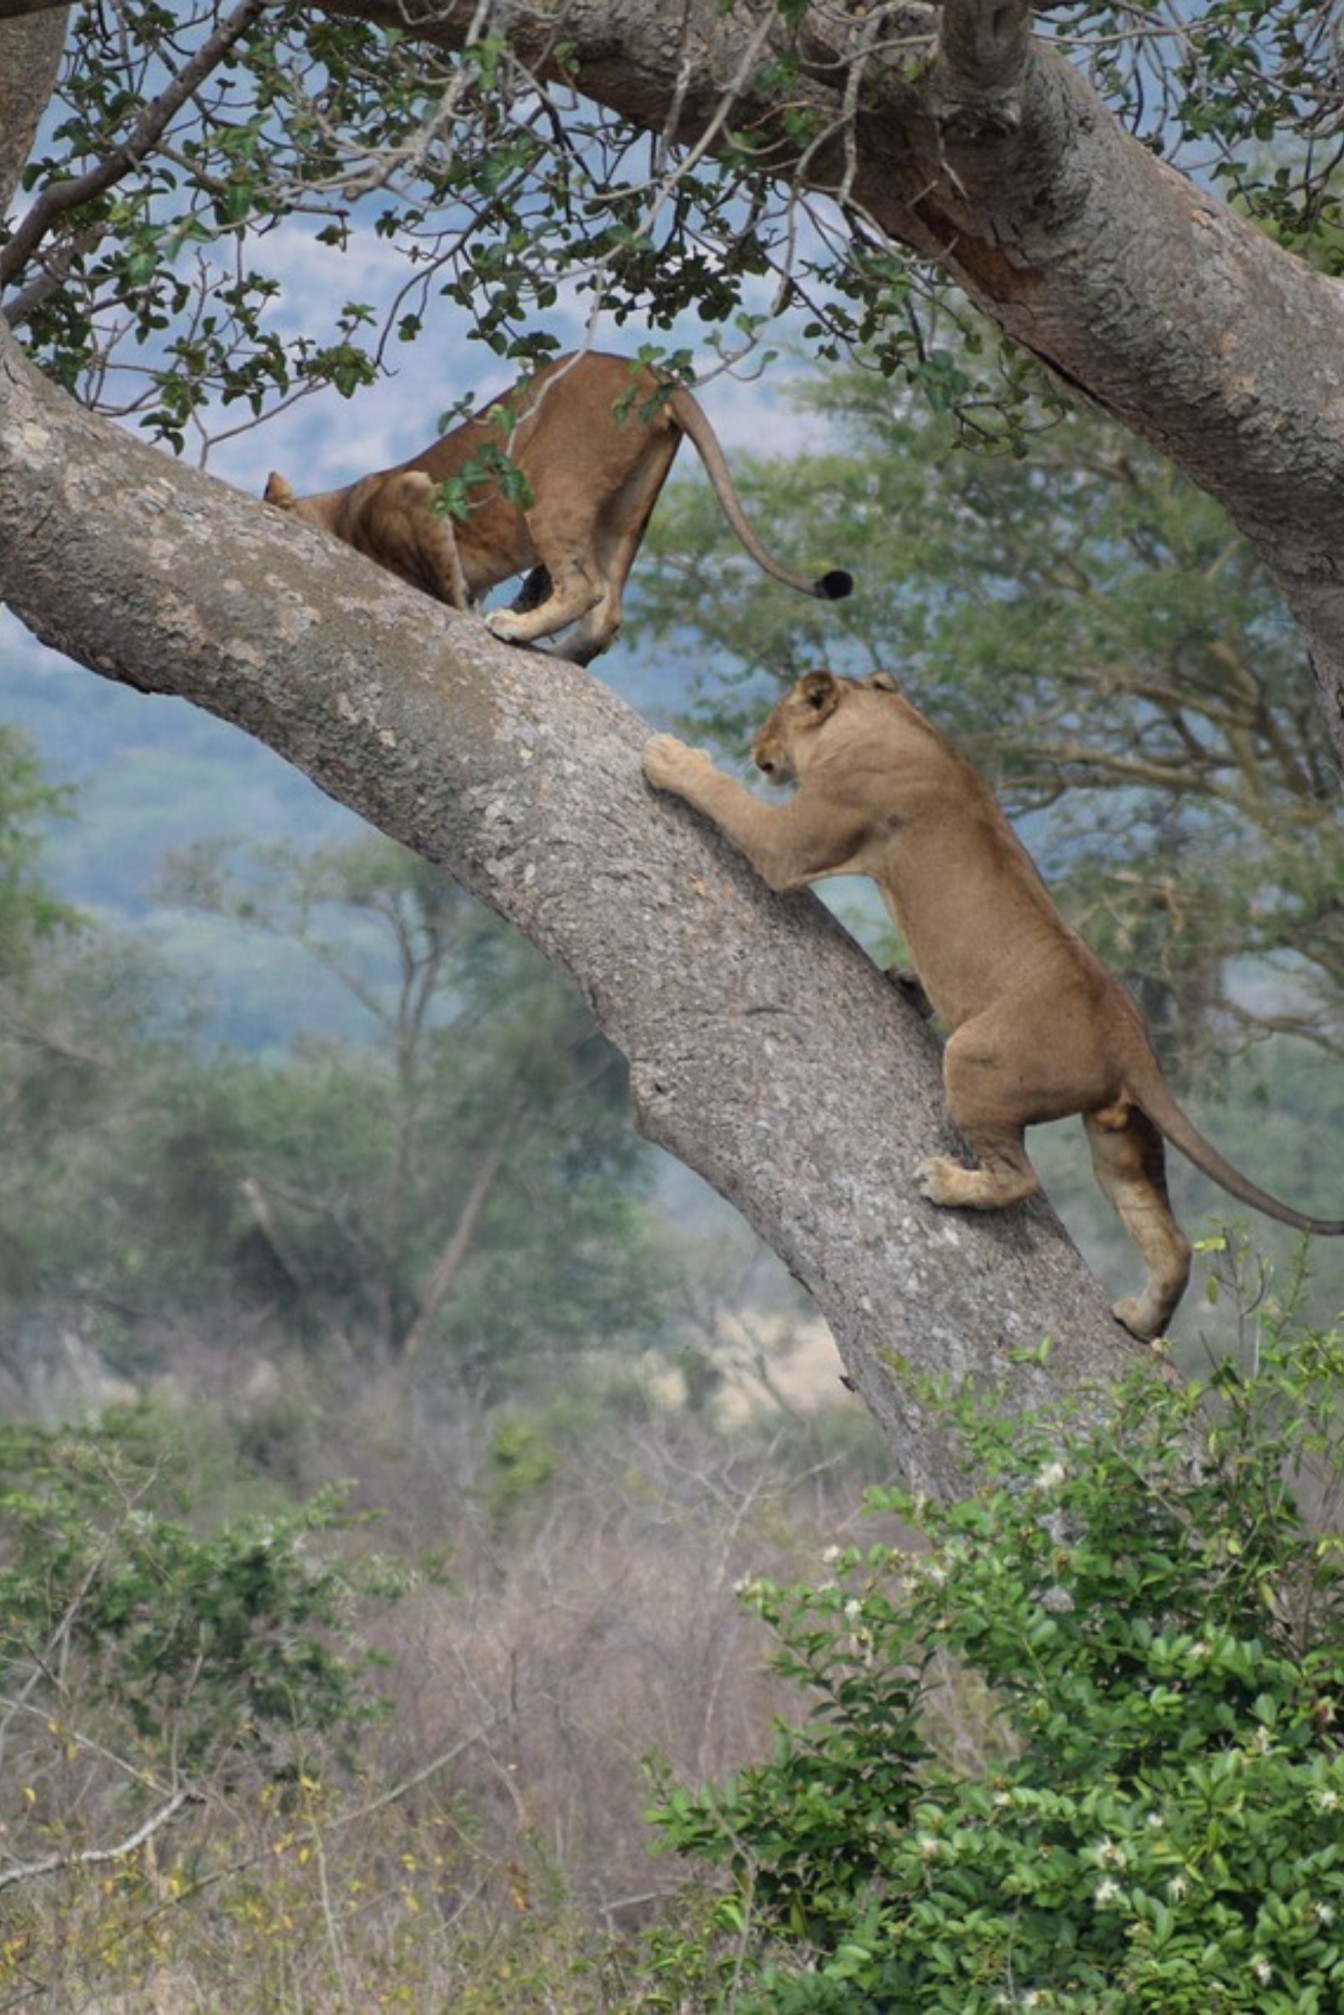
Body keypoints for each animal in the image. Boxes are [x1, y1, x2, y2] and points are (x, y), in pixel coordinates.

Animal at [263, 346, 850, 660]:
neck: (340, 507)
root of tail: (648, 371)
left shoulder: (415, 493)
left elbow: (445, 582)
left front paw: (472, 610)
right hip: (627, 506)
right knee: (606, 611)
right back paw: (557, 650)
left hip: (550, 482)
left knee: (586, 588)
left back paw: (515, 628)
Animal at [644, 668, 1344, 1346]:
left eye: (773, 716)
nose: (755, 748)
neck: (883, 719)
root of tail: (1129, 1039)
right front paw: (904, 981)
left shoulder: (794, 841)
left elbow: (728, 800)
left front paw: (669, 756)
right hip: (1120, 1134)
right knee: (1170, 1241)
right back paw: (1141, 1321)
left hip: (976, 1059)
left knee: (1021, 1177)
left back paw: (947, 1183)